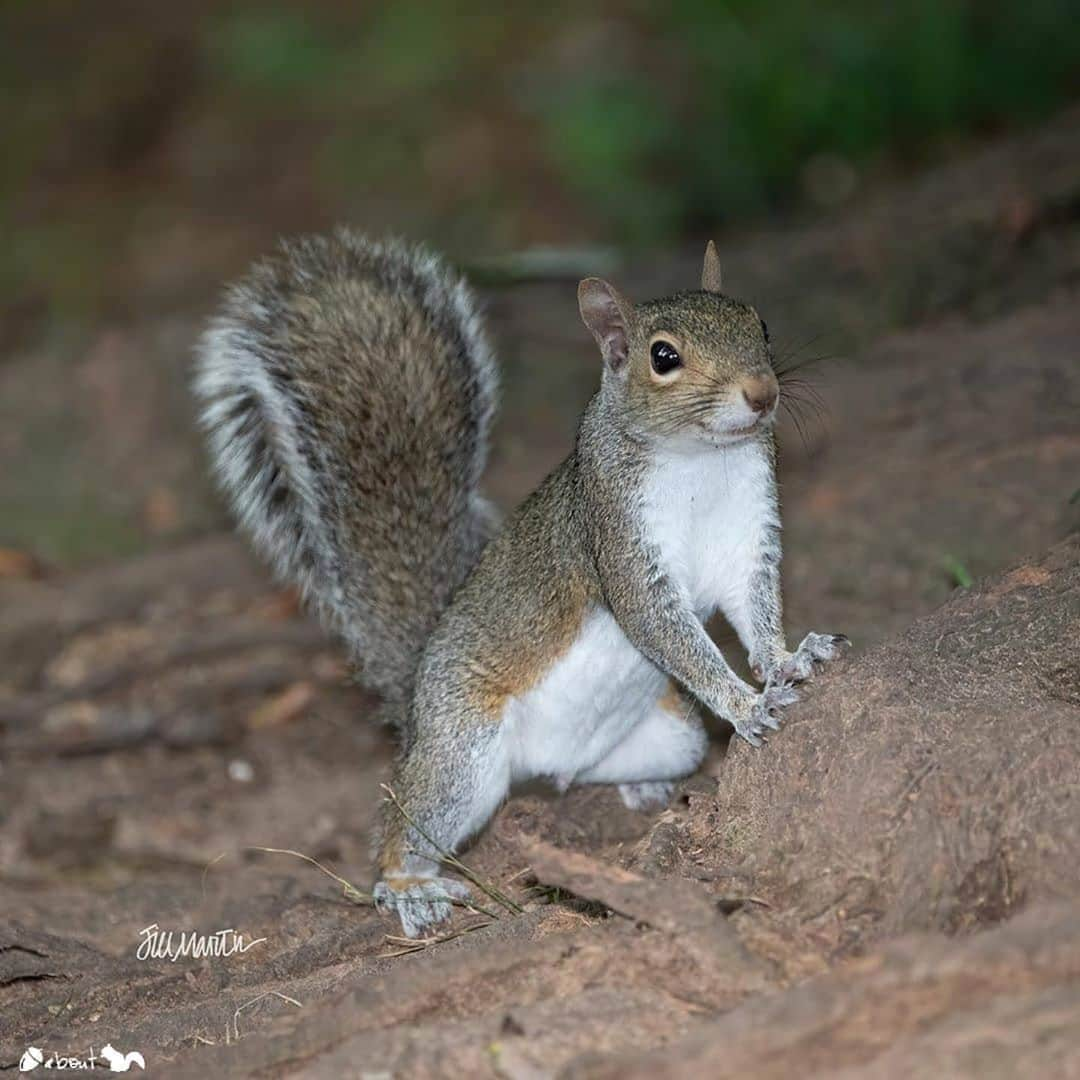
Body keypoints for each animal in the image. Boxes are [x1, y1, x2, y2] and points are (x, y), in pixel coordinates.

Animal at [198, 230, 846, 937]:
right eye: (663, 357)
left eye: (759, 323)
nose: (762, 393)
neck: (703, 461)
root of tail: (416, 701)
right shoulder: (616, 537)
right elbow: (660, 625)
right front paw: (746, 704)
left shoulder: (745, 535)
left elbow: (754, 607)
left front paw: (788, 660)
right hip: (462, 751)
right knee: (406, 820)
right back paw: (407, 886)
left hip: (672, 739)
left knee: (593, 774)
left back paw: (637, 788)